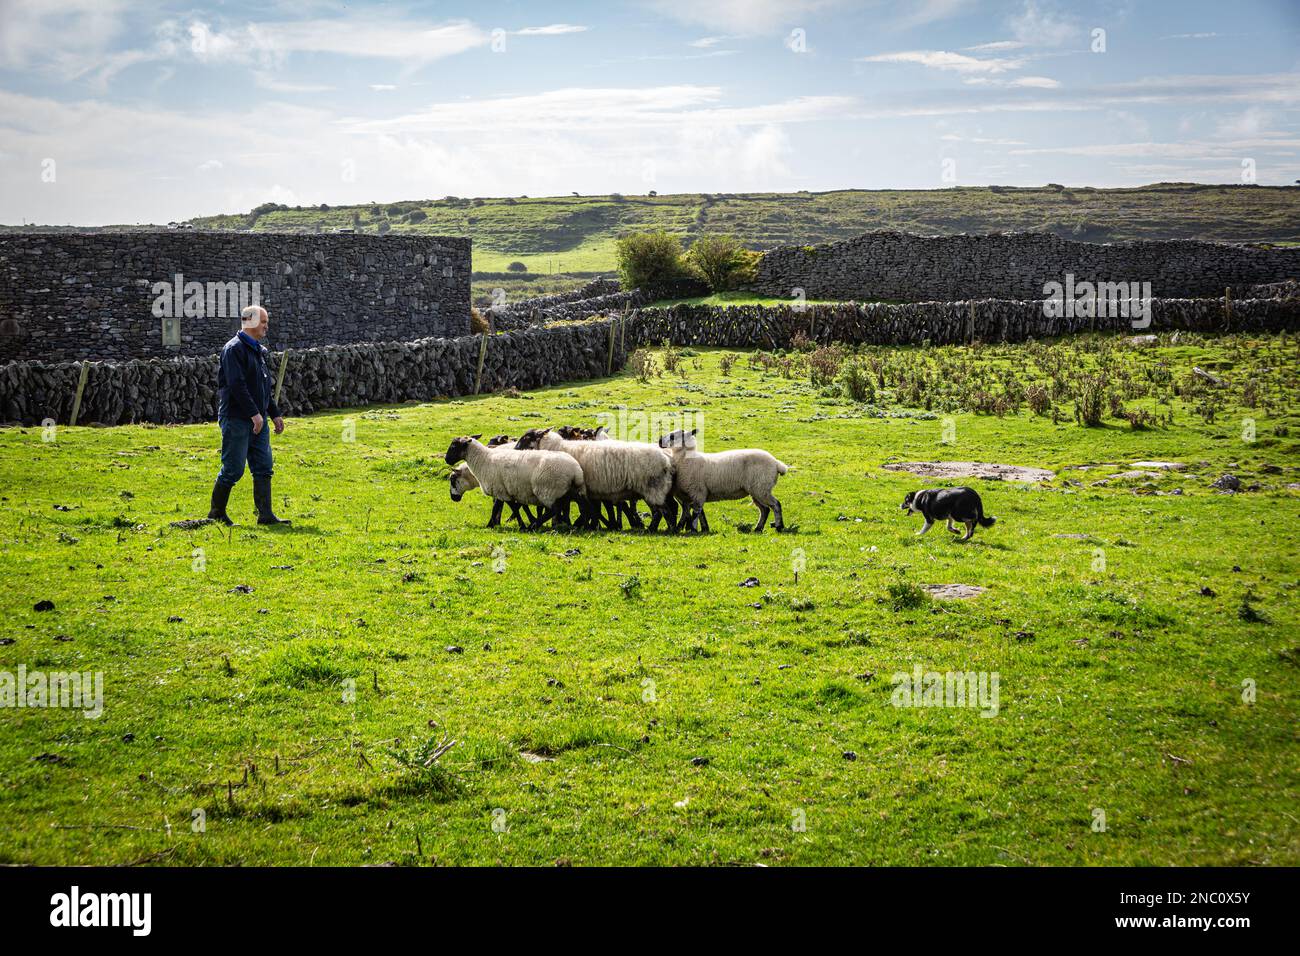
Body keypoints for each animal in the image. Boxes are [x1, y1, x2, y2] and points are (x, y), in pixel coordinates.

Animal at [444, 435, 585, 530]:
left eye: (454, 446)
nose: (446, 460)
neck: (483, 460)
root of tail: (575, 470)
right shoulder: (504, 489)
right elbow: (505, 507)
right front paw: (492, 524)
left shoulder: (500, 489)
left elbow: (508, 507)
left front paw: (519, 525)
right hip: (570, 489)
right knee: (581, 504)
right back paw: (575, 524)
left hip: (548, 489)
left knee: (554, 509)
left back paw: (534, 526)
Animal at [514, 427, 676, 532]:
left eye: (527, 437)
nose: (514, 450)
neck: (558, 447)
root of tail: (667, 459)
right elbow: (591, 509)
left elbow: (583, 509)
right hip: (657, 488)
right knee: (666, 509)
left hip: (653, 487)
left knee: (663, 511)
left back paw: (659, 529)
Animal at [657, 428, 788, 532]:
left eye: (672, 436)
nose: (659, 441)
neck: (686, 459)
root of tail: (776, 463)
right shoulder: (693, 494)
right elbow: (699, 513)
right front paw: (703, 529)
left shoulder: (698, 492)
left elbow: (696, 513)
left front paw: (693, 529)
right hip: (757, 490)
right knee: (765, 509)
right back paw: (758, 528)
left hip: (761, 487)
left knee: (776, 505)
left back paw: (779, 526)